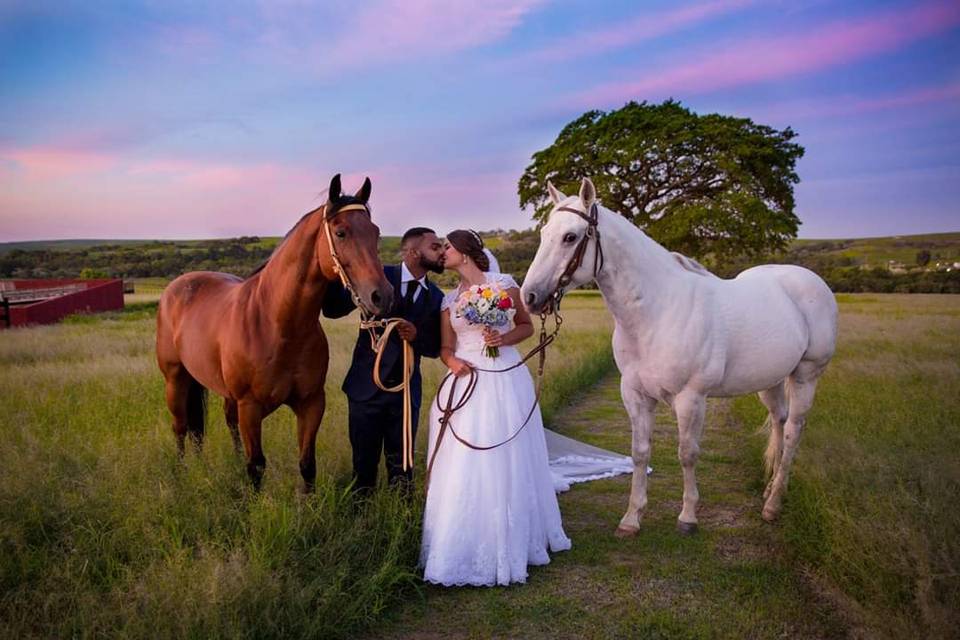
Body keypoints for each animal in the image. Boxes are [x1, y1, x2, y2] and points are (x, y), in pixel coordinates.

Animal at [156, 174, 392, 490]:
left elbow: (307, 465)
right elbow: (256, 466)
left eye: (375, 233)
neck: (278, 324)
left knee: (220, 425)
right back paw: (182, 474)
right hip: (176, 379)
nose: (382, 296)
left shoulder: (311, 403)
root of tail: (177, 286)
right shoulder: (251, 407)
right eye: (341, 232)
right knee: (182, 428)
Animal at [520, 178, 836, 536]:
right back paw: (769, 491)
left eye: (570, 237)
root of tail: (809, 281)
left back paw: (773, 504)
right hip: (769, 381)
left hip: (806, 375)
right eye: (544, 233)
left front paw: (687, 517)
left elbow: (687, 453)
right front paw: (632, 518)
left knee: (794, 430)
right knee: (779, 423)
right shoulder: (635, 394)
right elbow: (639, 453)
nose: (530, 296)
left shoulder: (690, 398)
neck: (657, 312)